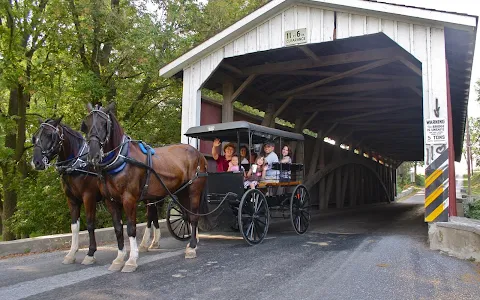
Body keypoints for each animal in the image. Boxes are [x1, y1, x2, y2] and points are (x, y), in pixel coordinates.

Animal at [31, 117, 102, 264]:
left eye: (50, 135)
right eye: (35, 137)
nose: (37, 162)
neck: (78, 164)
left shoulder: (89, 197)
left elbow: (90, 224)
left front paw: (90, 254)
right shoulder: (72, 199)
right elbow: (74, 226)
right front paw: (71, 254)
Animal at [81, 102, 208, 272]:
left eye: (104, 124)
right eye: (86, 124)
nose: (93, 155)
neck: (121, 159)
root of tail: (198, 154)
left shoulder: (129, 199)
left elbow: (131, 228)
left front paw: (131, 260)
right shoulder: (111, 200)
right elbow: (118, 229)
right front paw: (119, 259)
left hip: (194, 189)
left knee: (194, 216)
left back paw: (192, 247)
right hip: (182, 191)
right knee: (187, 215)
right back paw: (192, 242)